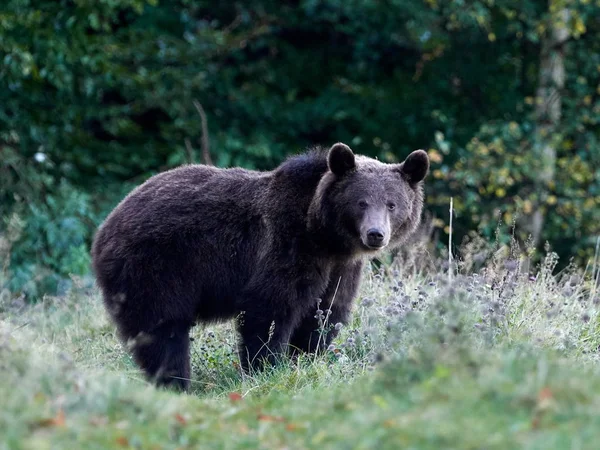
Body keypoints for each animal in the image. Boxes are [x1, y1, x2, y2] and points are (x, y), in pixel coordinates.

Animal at [91, 144, 428, 390]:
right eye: (361, 202)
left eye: (392, 203)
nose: (375, 234)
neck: (323, 234)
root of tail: (107, 225)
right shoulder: (286, 247)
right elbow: (270, 311)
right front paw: (266, 368)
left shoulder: (340, 269)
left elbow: (325, 312)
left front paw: (306, 358)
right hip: (156, 266)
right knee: (162, 329)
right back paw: (175, 382)